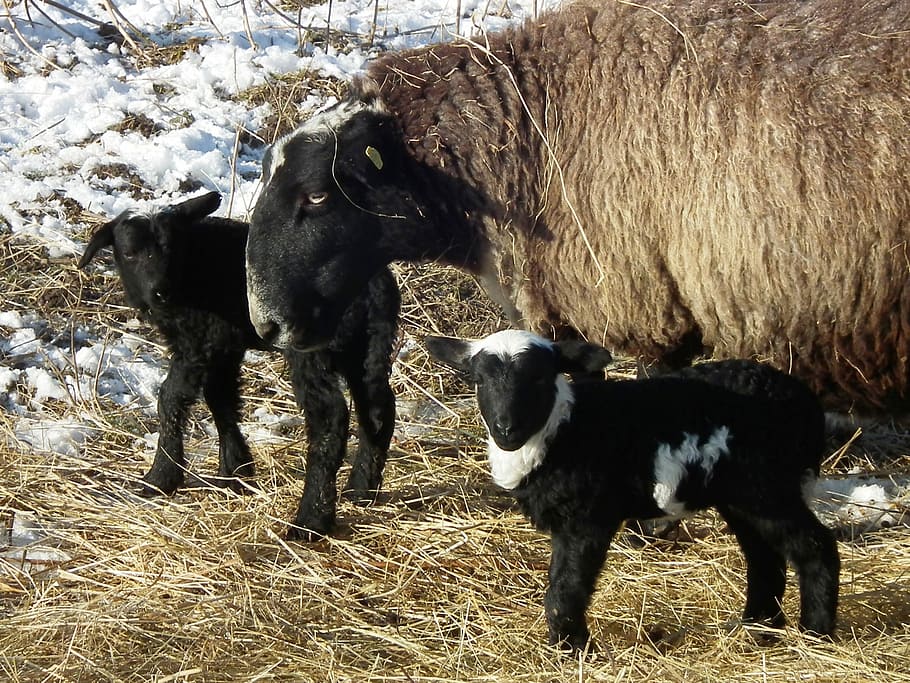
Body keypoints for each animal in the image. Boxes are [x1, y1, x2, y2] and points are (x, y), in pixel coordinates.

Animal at [78, 192, 400, 539]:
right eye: (129, 253)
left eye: (171, 248)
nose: (160, 292)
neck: (191, 267)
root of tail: (374, 287)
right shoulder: (224, 344)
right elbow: (221, 399)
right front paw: (235, 471)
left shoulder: (198, 339)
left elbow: (172, 398)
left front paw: (161, 477)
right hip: (368, 347)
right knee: (378, 408)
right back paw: (361, 490)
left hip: (313, 348)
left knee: (330, 416)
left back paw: (311, 520)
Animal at [426, 329, 840, 650]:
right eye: (478, 380)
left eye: (541, 379)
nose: (506, 429)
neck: (565, 429)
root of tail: (805, 404)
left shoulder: (589, 516)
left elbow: (566, 587)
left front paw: (571, 647)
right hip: (741, 497)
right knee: (764, 556)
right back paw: (758, 628)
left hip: (766, 486)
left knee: (815, 545)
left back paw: (815, 633)